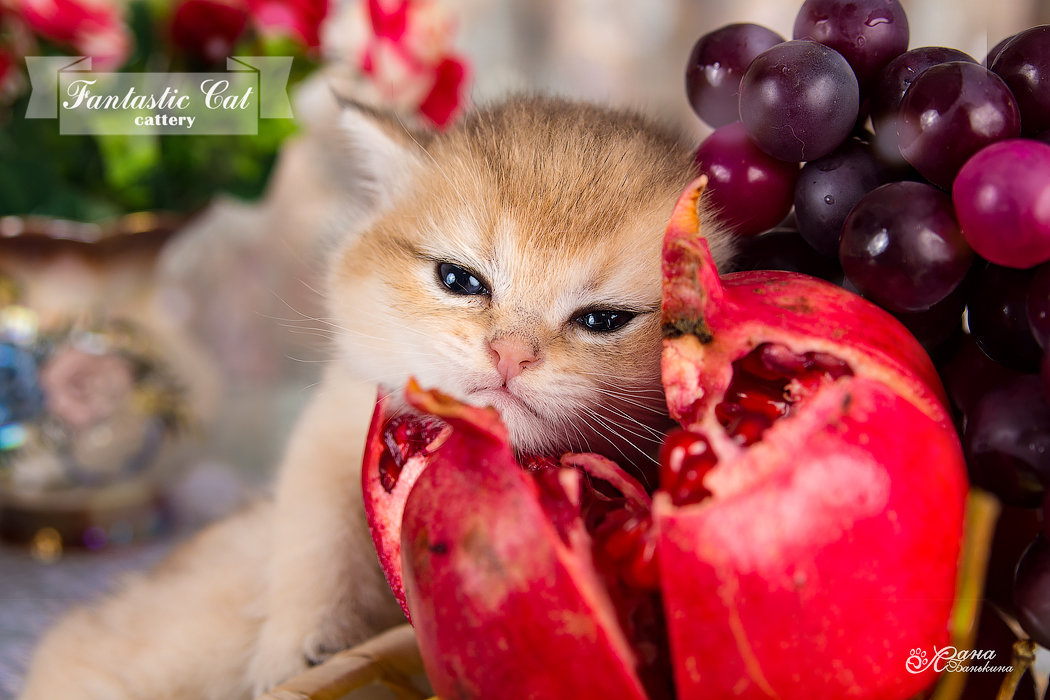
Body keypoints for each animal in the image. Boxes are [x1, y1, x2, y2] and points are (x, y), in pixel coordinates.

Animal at [18, 94, 730, 700]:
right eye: (459, 280)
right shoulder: (332, 431)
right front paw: (304, 645)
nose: (510, 354)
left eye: (605, 319)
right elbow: (316, 542)